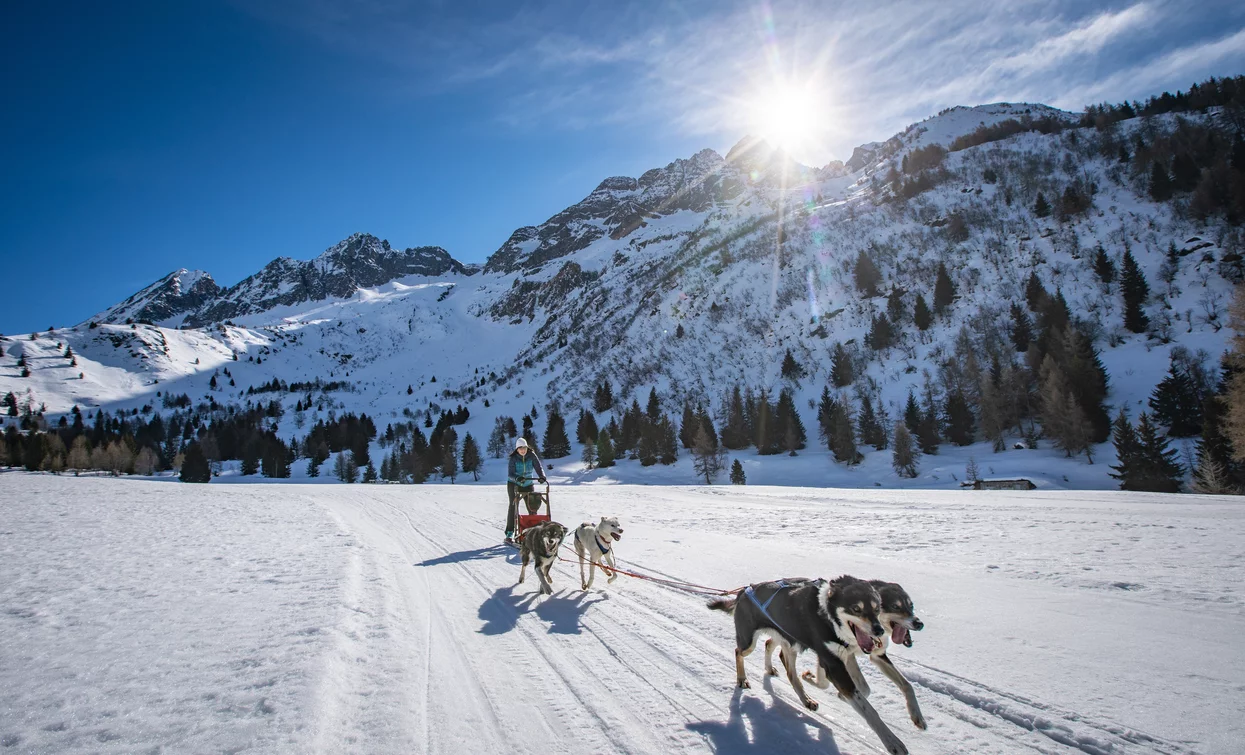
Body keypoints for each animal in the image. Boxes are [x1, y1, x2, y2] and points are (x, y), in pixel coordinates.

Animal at [717, 578, 911, 752]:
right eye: (856, 608)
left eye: (877, 608)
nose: (878, 630)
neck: (827, 617)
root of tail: (745, 591)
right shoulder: (833, 663)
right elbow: (868, 709)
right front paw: (892, 741)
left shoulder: (842, 656)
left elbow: (860, 690)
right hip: (749, 642)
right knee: (738, 652)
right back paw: (742, 678)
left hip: (789, 641)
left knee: (786, 666)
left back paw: (803, 697)